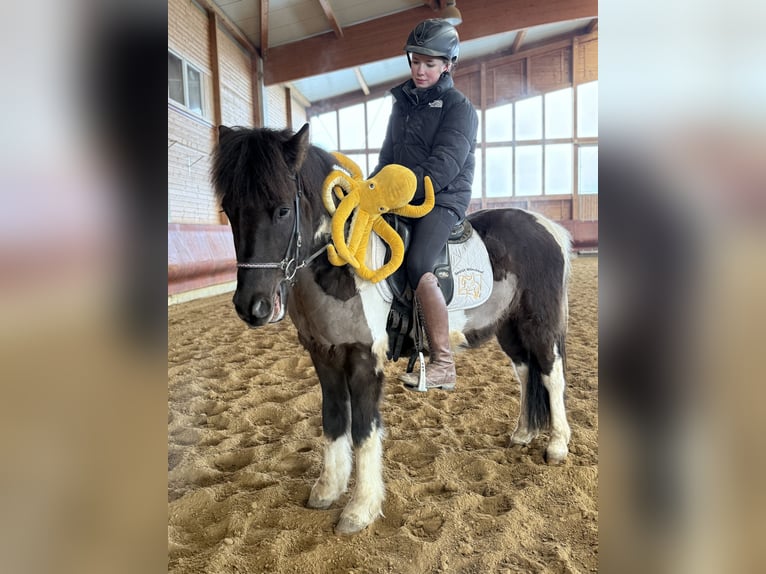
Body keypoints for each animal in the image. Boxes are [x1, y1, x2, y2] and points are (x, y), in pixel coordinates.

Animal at [211, 123, 572, 535]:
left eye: (283, 209)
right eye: (229, 211)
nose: (252, 306)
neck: (341, 268)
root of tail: (548, 227)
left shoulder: (365, 360)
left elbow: (364, 431)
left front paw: (360, 508)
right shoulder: (324, 355)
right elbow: (333, 419)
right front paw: (328, 490)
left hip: (539, 322)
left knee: (551, 374)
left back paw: (557, 446)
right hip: (508, 327)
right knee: (527, 372)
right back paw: (523, 434)